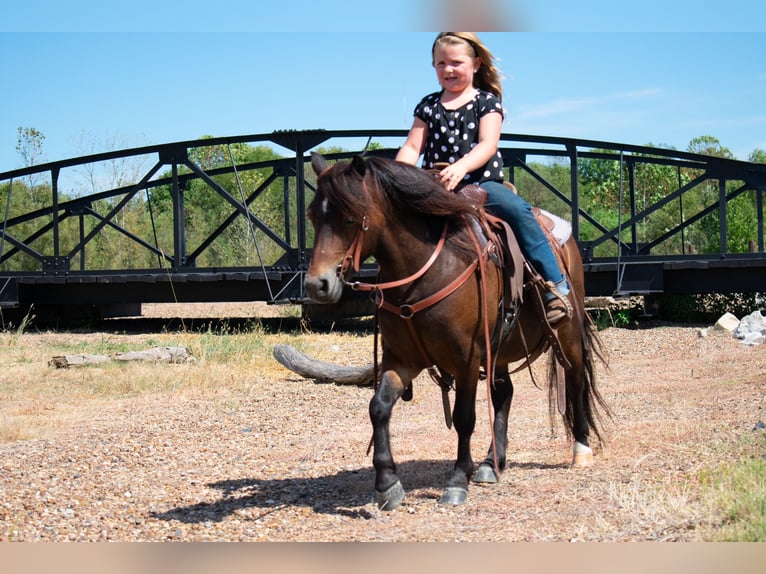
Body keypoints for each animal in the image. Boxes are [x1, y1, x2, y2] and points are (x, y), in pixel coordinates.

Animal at [304, 151, 608, 510]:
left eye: (351, 217)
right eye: (313, 216)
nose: (317, 284)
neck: (425, 270)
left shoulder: (466, 358)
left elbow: (464, 418)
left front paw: (457, 480)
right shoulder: (401, 359)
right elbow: (378, 407)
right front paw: (387, 483)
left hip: (568, 334)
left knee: (575, 381)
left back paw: (581, 449)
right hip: (499, 348)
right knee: (504, 394)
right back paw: (491, 462)